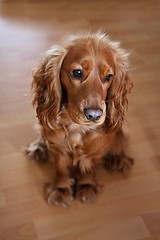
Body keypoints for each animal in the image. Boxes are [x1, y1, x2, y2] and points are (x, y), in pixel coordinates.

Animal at [26, 31, 134, 207]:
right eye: (77, 73)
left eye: (108, 77)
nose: (94, 115)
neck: (77, 127)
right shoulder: (56, 146)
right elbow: (61, 168)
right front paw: (61, 189)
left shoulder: (97, 149)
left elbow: (89, 166)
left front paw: (87, 186)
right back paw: (38, 148)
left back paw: (118, 159)